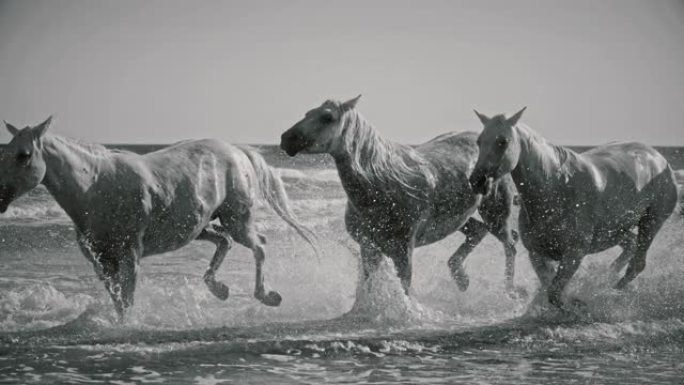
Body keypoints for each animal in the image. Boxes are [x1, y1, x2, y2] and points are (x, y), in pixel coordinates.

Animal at [0, 118, 320, 320]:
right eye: (5, 152)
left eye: (23, 155)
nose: (1, 197)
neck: (95, 188)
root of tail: (237, 150)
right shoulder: (100, 263)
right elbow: (117, 300)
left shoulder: (129, 256)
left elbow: (127, 300)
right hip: (200, 227)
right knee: (225, 241)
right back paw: (219, 290)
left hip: (236, 219)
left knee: (259, 245)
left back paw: (267, 295)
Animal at [470, 108, 680, 312]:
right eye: (479, 141)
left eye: (502, 141)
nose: (477, 180)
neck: (556, 188)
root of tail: (659, 159)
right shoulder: (537, 254)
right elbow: (548, 287)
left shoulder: (574, 254)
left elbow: (555, 293)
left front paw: (576, 305)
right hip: (616, 231)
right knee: (630, 245)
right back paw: (605, 279)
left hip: (651, 223)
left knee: (637, 264)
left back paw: (609, 292)